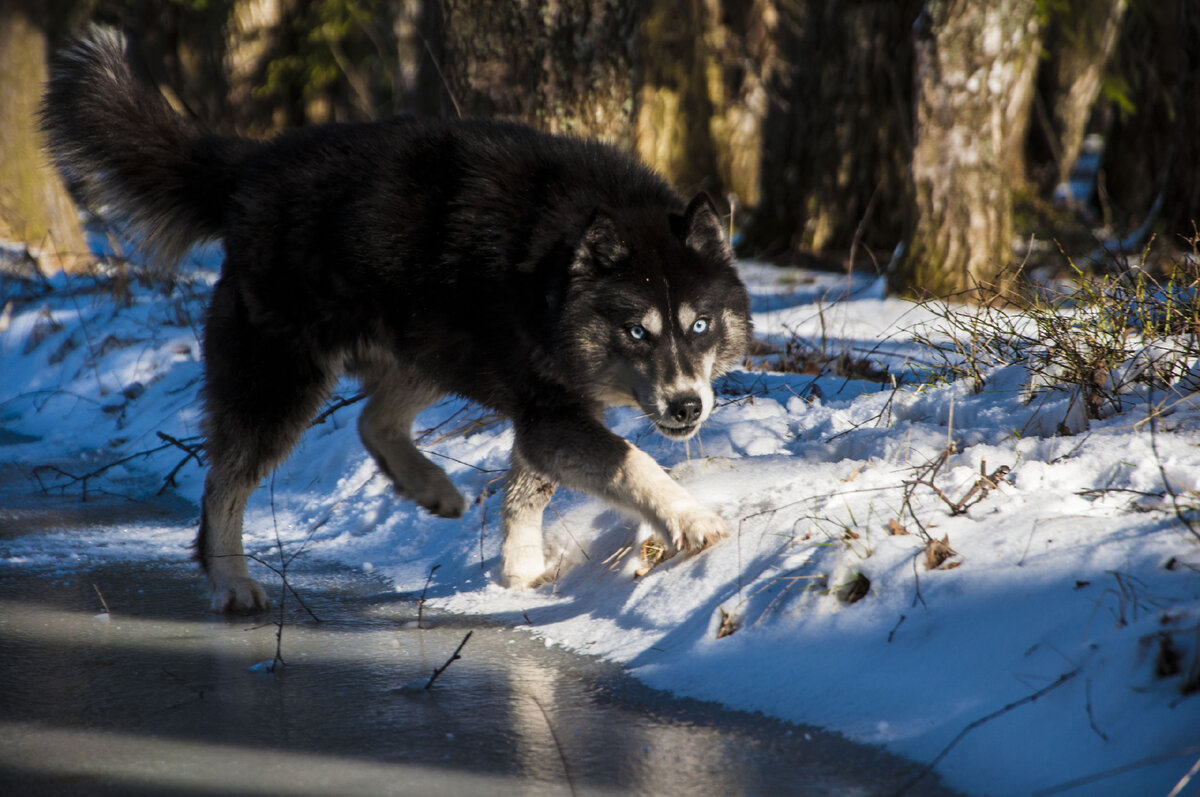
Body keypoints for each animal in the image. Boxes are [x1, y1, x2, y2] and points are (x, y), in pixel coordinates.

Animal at [39, 28, 748, 612]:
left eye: (700, 327)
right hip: (282, 386)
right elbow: (634, 464)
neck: (553, 274)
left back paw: (430, 485)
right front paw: (690, 519)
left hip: (429, 347)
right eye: (637, 332)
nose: (688, 407)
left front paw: (519, 573)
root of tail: (255, 162)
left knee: (371, 420)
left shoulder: (548, 412)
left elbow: (528, 489)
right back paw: (231, 583)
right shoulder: (552, 415)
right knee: (223, 485)